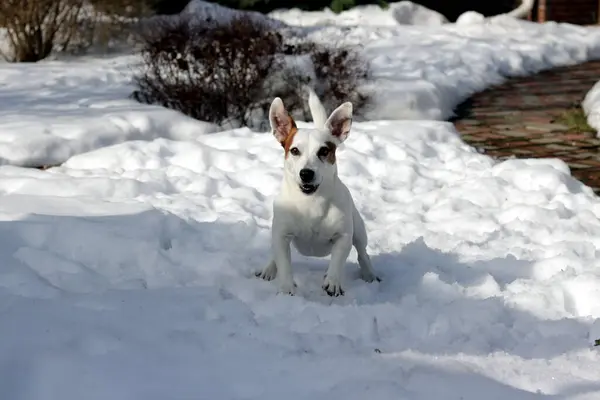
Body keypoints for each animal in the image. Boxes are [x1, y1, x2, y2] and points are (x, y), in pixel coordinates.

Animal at [256, 91, 380, 296]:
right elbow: (283, 262)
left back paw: (369, 273)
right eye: (294, 150)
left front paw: (333, 281)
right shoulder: (281, 234)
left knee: (363, 253)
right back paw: (269, 268)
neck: (311, 202)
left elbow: (338, 259)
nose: (306, 173)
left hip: (359, 230)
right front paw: (287, 288)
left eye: (324, 151)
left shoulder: (343, 236)